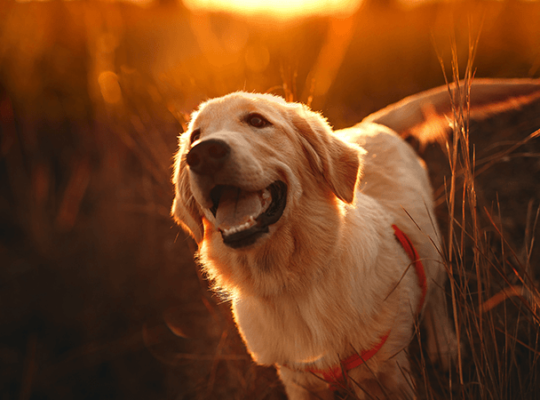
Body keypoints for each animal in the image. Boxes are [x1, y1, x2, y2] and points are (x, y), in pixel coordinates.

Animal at [171, 79, 540, 400]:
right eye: (195, 136)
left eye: (257, 121)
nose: (202, 153)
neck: (293, 284)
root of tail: (369, 124)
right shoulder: (297, 380)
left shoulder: (384, 374)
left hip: (430, 244)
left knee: (434, 295)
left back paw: (445, 347)